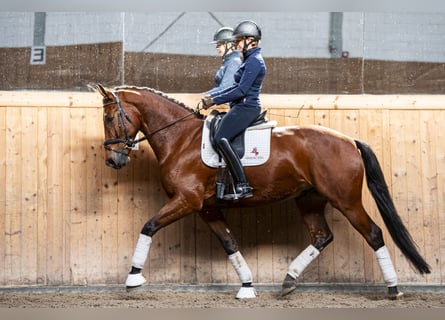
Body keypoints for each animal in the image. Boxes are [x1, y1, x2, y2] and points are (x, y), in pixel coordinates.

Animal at [94, 84, 430, 298]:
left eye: (110, 117)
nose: (113, 160)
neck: (180, 139)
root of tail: (349, 140)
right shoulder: (207, 208)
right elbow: (230, 244)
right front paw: (247, 287)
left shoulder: (186, 201)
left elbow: (148, 226)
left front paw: (133, 278)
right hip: (310, 200)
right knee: (322, 237)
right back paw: (288, 280)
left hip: (345, 200)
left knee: (373, 233)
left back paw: (393, 288)